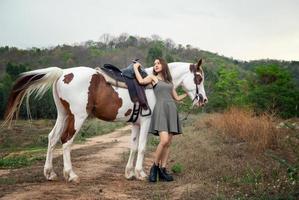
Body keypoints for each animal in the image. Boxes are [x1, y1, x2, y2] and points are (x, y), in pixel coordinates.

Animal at [4, 58, 209, 182]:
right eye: (199, 78)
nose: (203, 100)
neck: (152, 84)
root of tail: (63, 73)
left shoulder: (136, 124)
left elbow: (133, 147)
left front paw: (129, 173)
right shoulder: (145, 122)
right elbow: (142, 148)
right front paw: (141, 173)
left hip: (63, 115)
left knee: (52, 138)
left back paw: (50, 173)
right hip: (77, 117)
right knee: (66, 141)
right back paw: (71, 174)